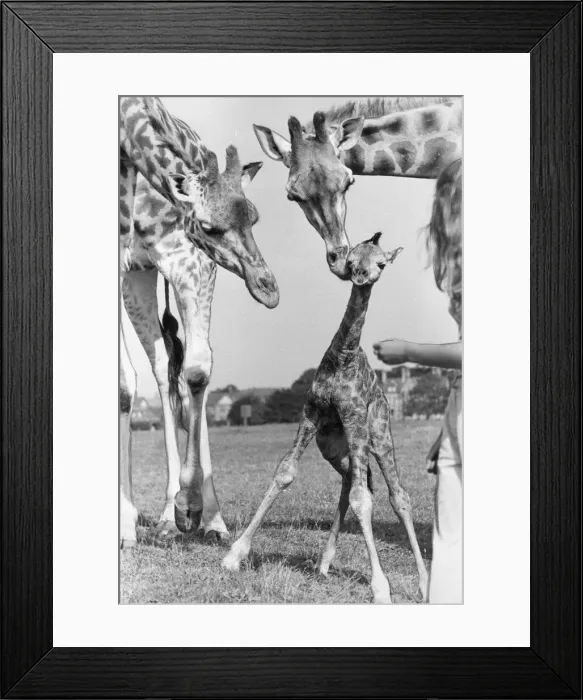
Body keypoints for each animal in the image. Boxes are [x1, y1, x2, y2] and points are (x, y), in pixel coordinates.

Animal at [119, 97, 279, 548]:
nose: (268, 289)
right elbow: (125, 384)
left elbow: (197, 370)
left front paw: (194, 509)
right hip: (136, 275)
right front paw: (126, 524)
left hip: (148, 274)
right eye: (210, 226)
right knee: (155, 370)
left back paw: (188, 517)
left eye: (254, 217)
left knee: (174, 368)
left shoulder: (190, 263)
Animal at [223, 233, 428, 604]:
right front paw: (234, 555)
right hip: (335, 449)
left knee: (396, 495)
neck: (344, 355)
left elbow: (365, 499)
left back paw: (423, 583)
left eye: (382, 263)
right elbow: (285, 473)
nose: (361, 276)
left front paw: (380, 588)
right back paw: (323, 563)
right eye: (352, 259)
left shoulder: (355, 419)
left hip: (377, 436)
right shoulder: (311, 415)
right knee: (350, 485)